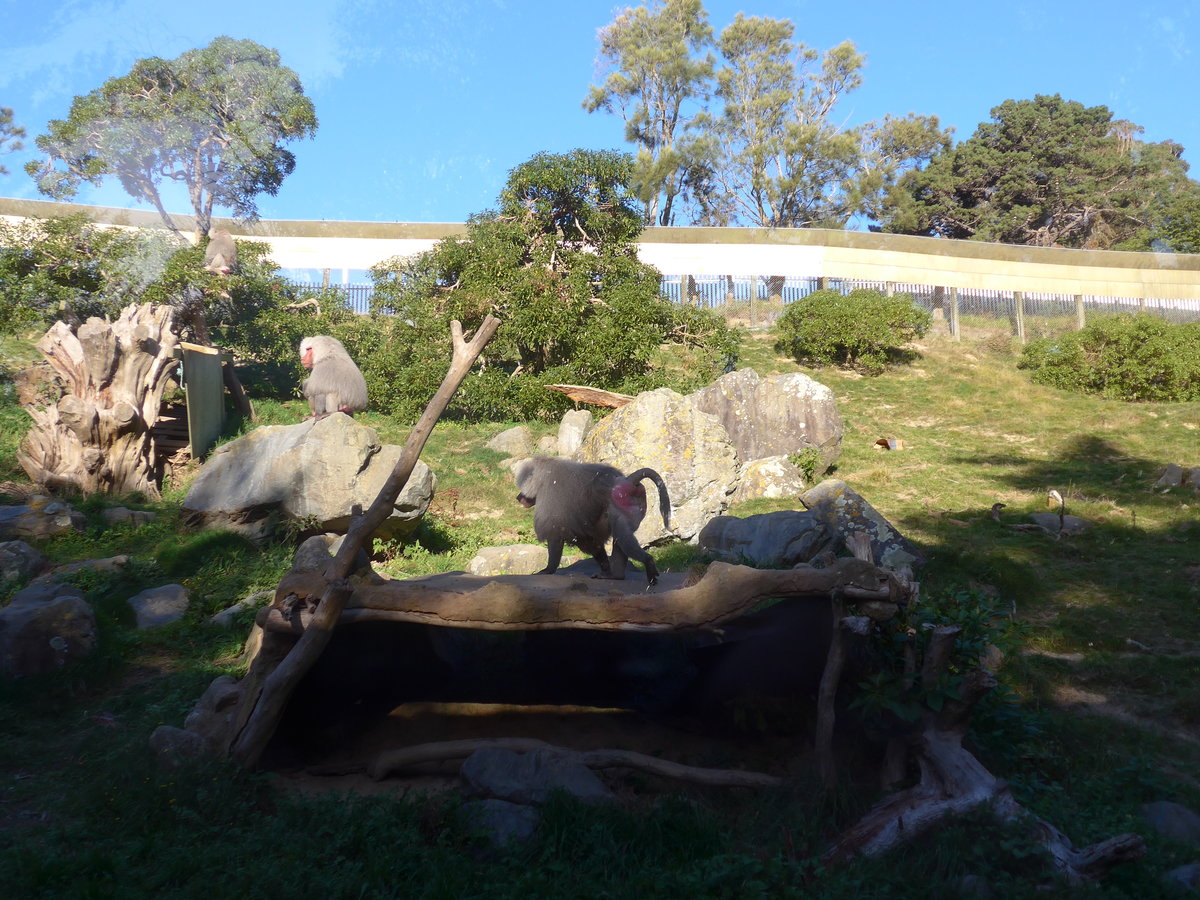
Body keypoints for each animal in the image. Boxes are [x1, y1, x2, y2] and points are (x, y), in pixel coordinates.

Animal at [513, 457, 671, 586]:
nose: (518, 497)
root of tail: (627, 480)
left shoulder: (550, 497)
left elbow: (555, 532)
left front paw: (548, 569)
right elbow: (590, 541)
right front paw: (605, 566)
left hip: (621, 500)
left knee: (622, 534)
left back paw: (647, 561)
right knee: (620, 536)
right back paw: (615, 576)